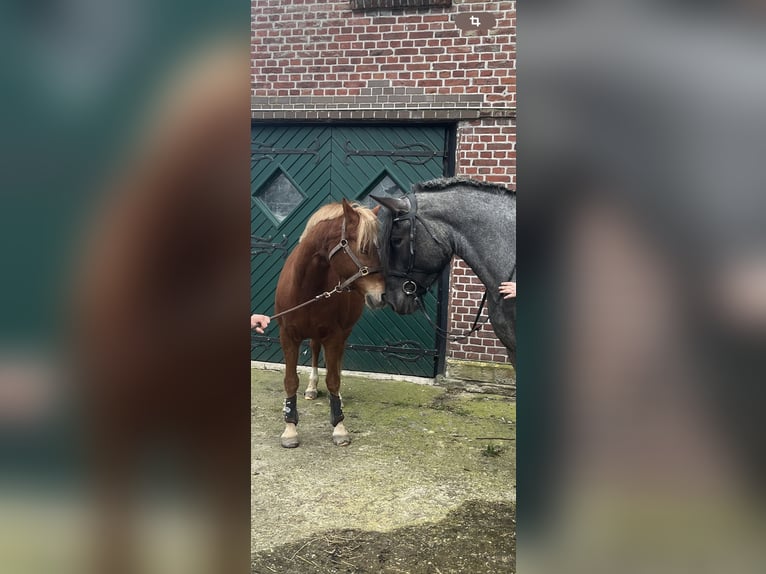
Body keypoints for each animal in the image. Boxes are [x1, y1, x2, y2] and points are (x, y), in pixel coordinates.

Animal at [274, 201, 388, 450]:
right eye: (364, 248)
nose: (382, 296)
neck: (306, 288)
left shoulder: (334, 336)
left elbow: (334, 380)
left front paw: (339, 427)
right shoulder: (288, 336)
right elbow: (290, 381)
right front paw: (290, 429)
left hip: (343, 332)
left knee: (336, 363)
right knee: (315, 351)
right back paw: (311, 387)